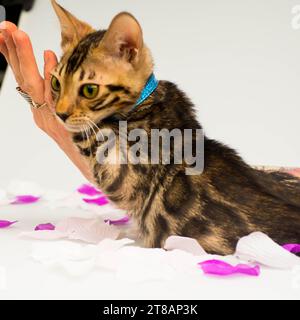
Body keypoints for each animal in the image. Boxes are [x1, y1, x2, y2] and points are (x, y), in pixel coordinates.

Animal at [49, 0, 300, 255]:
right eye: (56, 83)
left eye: (89, 90)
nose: (60, 113)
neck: (145, 102)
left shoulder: (122, 170)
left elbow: (88, 134)